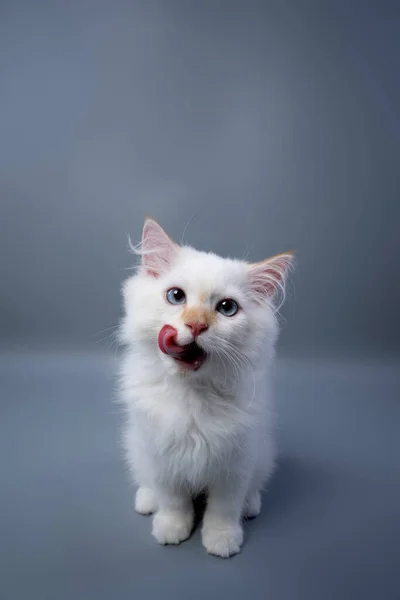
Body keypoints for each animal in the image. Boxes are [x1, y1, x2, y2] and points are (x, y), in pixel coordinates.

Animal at [119, 217, 294, 556]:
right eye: (176, 296)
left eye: (227, 308)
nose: (196, 324)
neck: (192, 393)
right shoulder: (162, 455)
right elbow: (173, 500)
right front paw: (172, 528)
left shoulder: (235, 462)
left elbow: (223, 508)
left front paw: (222, 540)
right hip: (137, 447)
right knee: (147, 481)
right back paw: (147, 501)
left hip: (263, 454)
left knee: (253, 488)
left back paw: (251, 507)